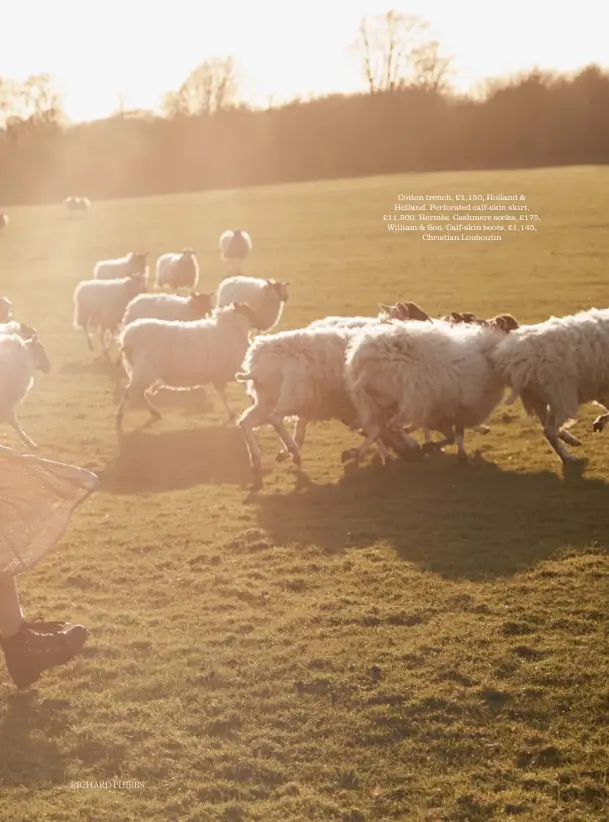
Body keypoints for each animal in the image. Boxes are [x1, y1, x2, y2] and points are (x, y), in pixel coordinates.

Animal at [116, 304, 258, 432]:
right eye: (248, 311)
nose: (260, 322)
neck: (230, 329)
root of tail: (127, 338)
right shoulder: (233, 371)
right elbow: (236, 392)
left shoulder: (219, 376)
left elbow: (224, 395)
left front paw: (234, 413)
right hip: (145, 370)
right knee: (130, 393)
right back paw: (120, 417)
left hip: (141, 371)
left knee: (139, 393)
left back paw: (154, 412)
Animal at [342, 316, 516, 466]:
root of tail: (363, 363)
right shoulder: (458, 407)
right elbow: (457, 435)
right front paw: (459, 454)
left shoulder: (444, 410)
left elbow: (449, 434)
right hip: (409, 397)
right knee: (391, 426)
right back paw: (409, 444)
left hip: (382, 400)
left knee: (378, 428)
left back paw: (358, 452)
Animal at [492, 308, 609, 464]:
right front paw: (600, 422)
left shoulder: (603, 389)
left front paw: (599, 422)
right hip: (561, 397)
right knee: (549, 431)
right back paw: (568, 457)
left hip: (539, 398)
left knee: (547, 425)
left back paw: (571, 440)